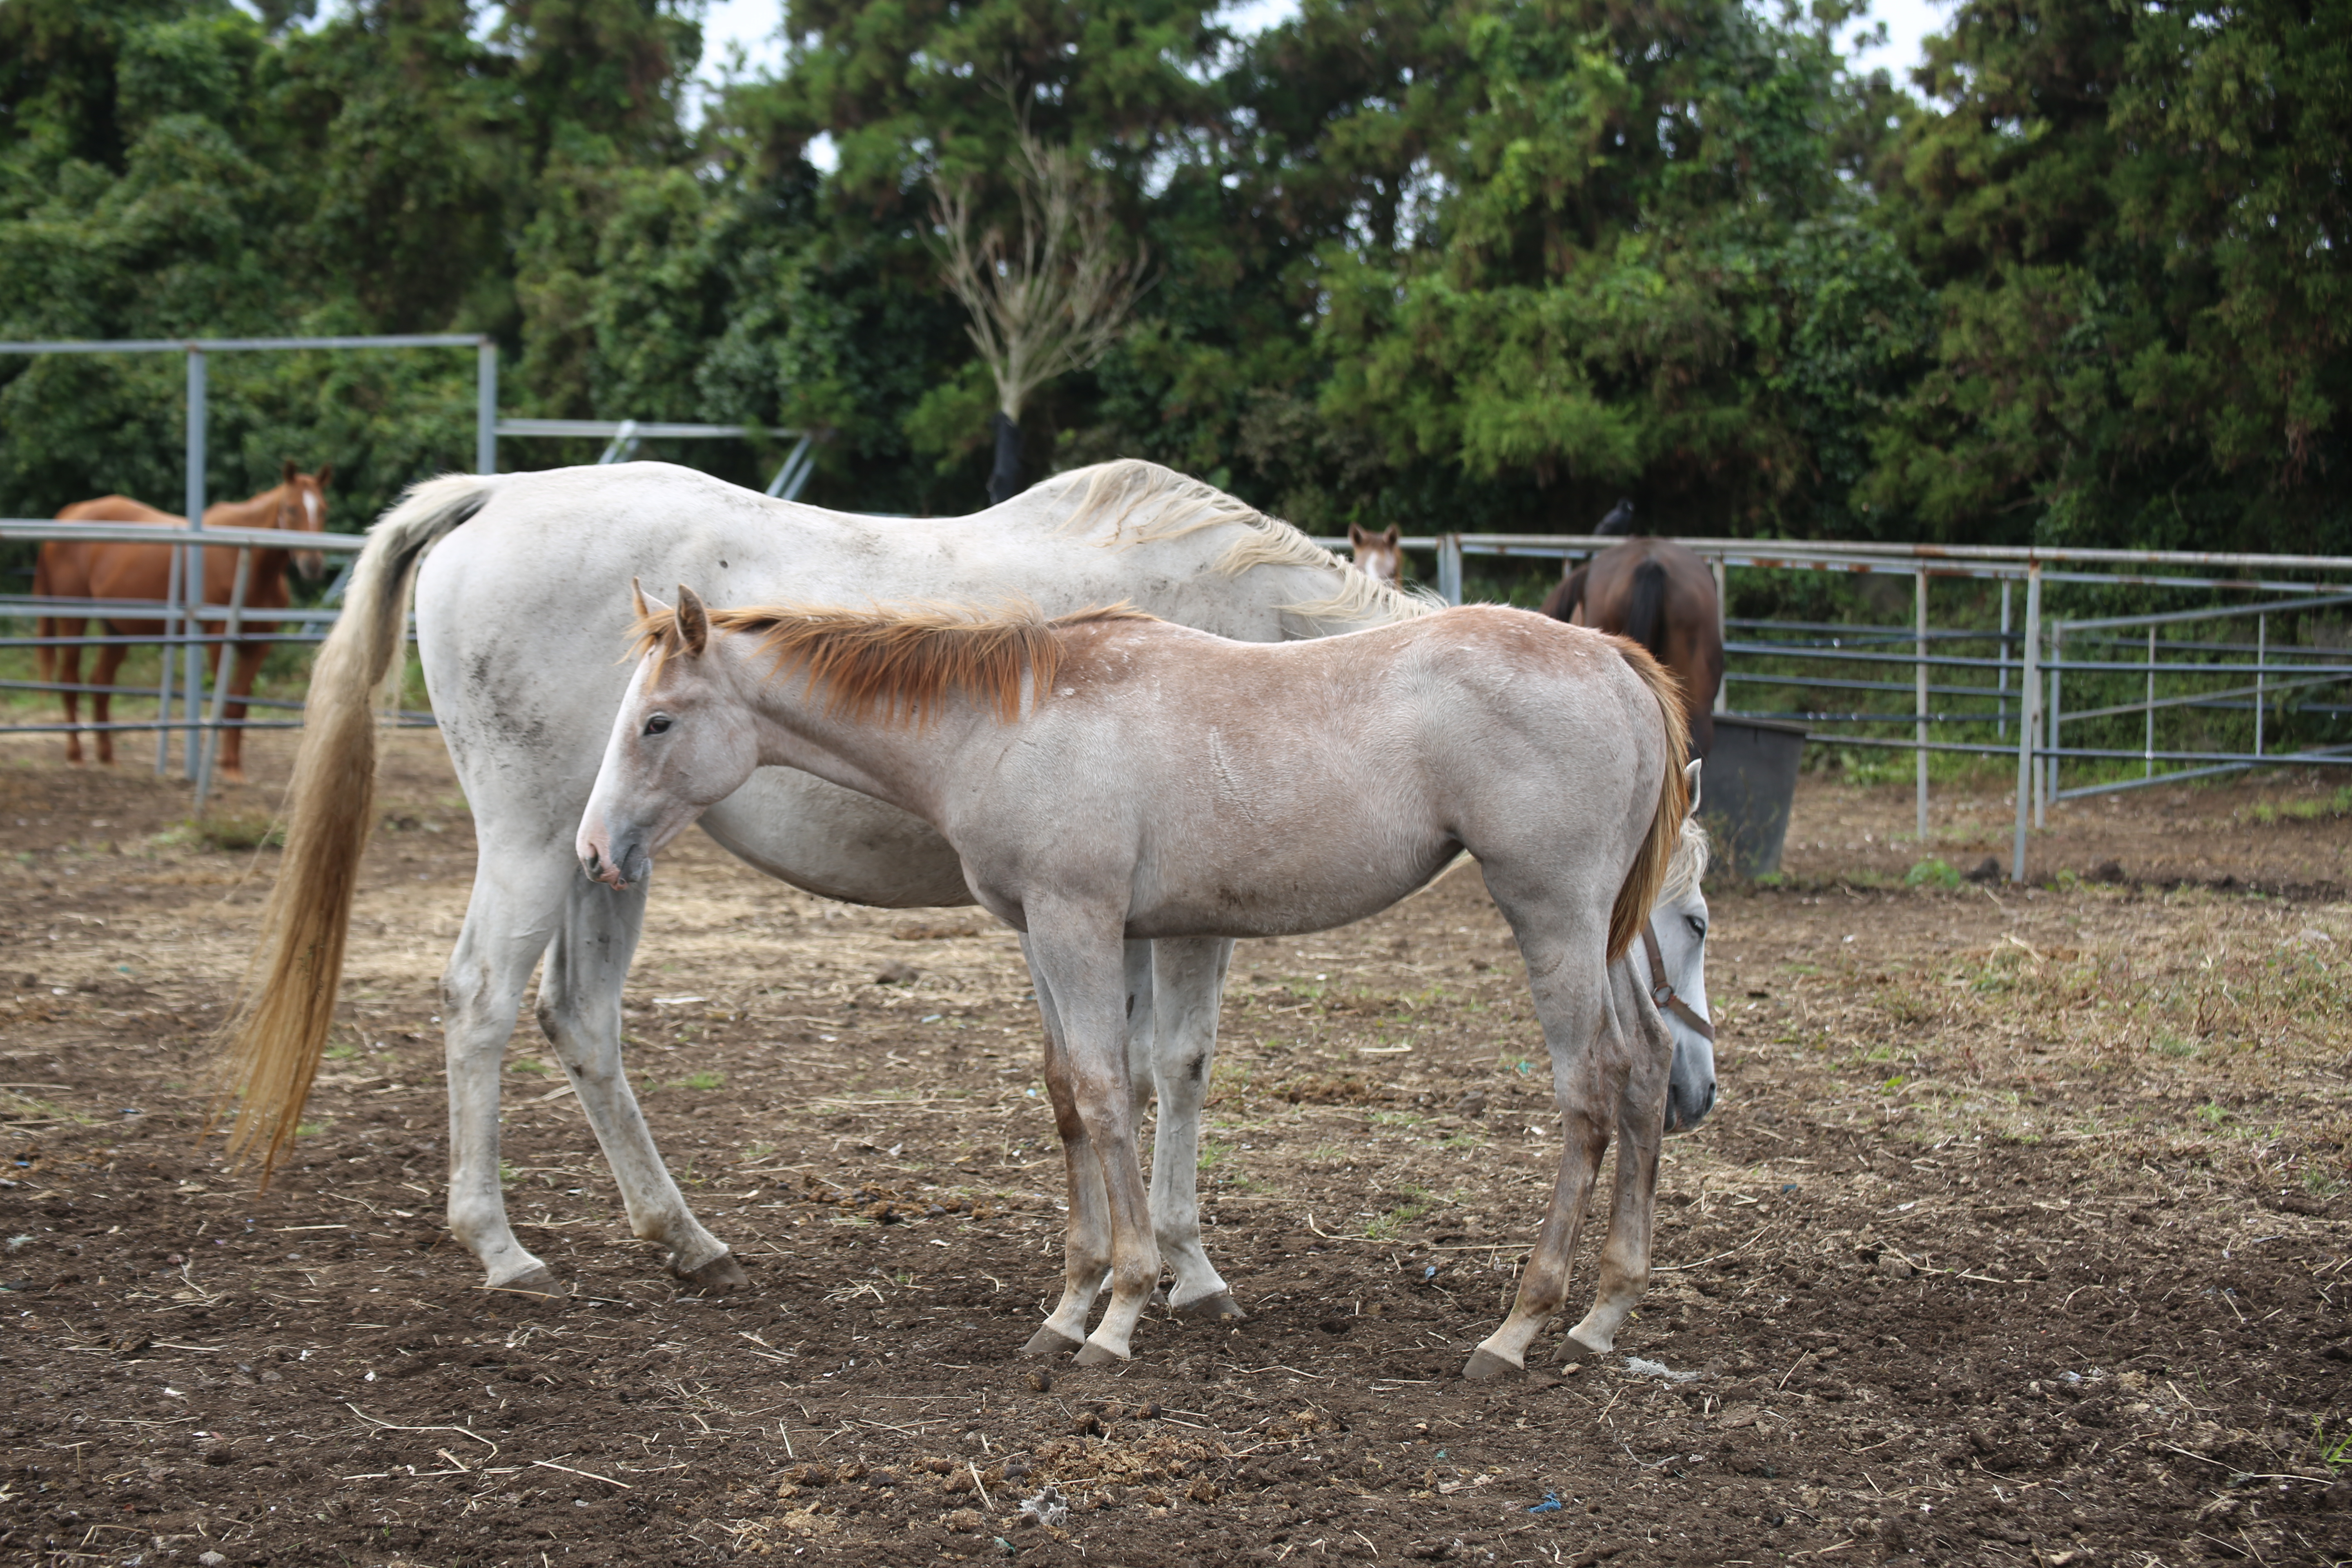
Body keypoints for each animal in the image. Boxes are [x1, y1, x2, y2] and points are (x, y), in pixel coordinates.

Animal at [34, 463, 334, 785]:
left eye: (323, 510)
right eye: (290, 509)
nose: (313, 565)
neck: (245, 562)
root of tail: (69, 514)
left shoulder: (260, 644)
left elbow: (240, 702)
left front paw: (235, 768)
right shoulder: (218, 638)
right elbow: (225, 701)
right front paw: (225, 768)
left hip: (117, 630)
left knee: (100, 683)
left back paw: (108, 759)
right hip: (73, 621)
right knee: (70, 681)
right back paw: (76, 756)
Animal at [225, 461, 1430, 1307]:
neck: (1265, 651)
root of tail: (497, 494)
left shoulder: (1111, 915)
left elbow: (1120, 1072)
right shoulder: (1179, 921)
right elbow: (1173, 1068)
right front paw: (1188, 1269)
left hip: (605, 859)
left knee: (579, 1018)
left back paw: (687, 1241)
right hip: (530, 843)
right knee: (479, 1001)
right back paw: (500, 1247)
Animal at [578, 588, 1703, 1373]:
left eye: (658, 722)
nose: (595, 851)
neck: (1007, 722)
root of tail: (1611, 657)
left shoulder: (1079, 922)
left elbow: (1109, 1093)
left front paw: (1119, 1313)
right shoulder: (1059, 932)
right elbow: (1071, 1095)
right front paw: (1067, 1306)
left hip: (1551, 919)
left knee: (1589, 1090)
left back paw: (1517, 1329)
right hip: (1601, 934)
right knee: (1646, 1070)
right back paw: (1603, 1316)